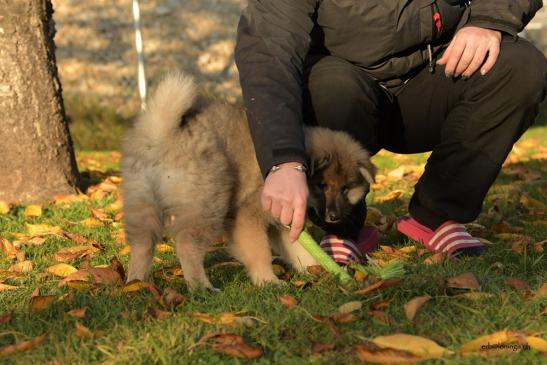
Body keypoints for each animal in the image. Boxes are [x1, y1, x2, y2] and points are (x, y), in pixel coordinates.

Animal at [121, 72, 374, 288]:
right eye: (322, 186)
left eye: (346, 189)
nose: (334, 217)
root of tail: (161, 133)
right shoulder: (249, 215)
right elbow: (259, 251)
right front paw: (268, 281)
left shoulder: (281, 223)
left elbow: (298, 251)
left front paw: (320, 270)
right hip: (208, 203)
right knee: (187, 245)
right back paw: (201, 287)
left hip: (142, 203)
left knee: (142, 245)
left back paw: (136, 284)